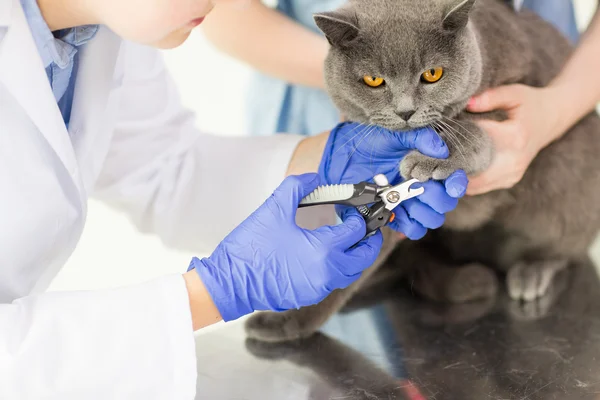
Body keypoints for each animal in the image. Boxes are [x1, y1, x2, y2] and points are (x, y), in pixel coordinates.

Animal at [246, 0, 600, 344]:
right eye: (373, 80)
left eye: (432, 74)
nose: (405, 111)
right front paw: (288, 318)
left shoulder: (507, 103)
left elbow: (468, 130)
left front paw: (429, 159)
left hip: (564, 185)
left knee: (565, 247)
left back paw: (534, 271)